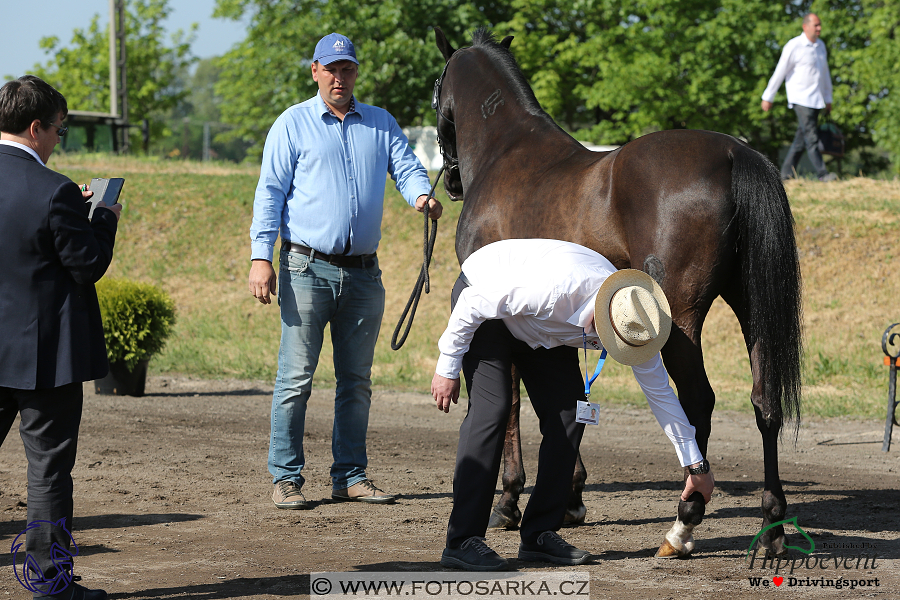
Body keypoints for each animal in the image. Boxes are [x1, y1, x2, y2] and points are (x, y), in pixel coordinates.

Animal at [434, 28, 800, 556]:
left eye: (436, 86)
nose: (452, 179)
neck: (508, 153)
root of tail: (736, 153)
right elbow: (563, 399)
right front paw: (569, 497)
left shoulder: (499, 310)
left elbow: (516, 401)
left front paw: (509, 500)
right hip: (751, 307)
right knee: (765, 402)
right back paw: (771, 525)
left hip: (680, 319)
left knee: (699, 402)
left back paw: (684, 521)